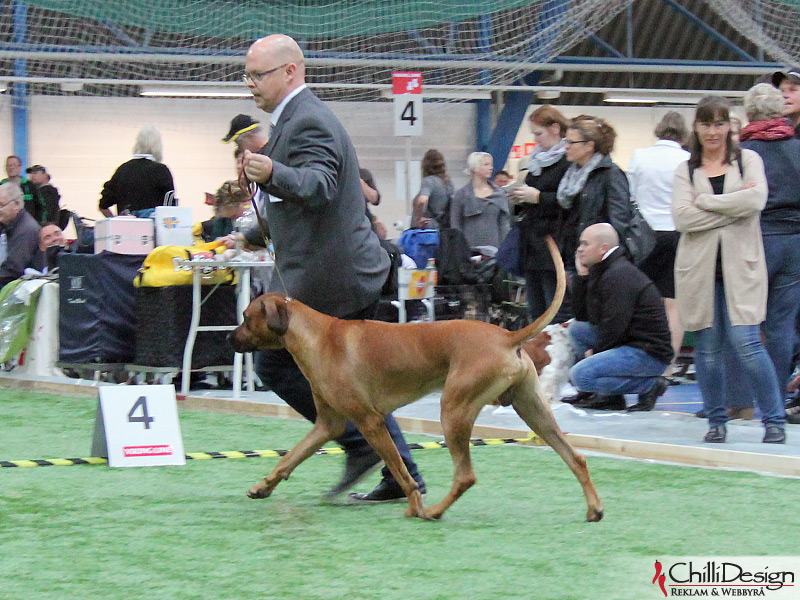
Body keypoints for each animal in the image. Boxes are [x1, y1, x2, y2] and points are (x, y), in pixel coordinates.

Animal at [229, 236, 603, 522]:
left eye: (246, 317)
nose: (229, 339)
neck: (316, 336)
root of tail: (508, 336)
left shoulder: (370, 421)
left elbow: (400, 470)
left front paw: (412, 503)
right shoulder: (328, 424)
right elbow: (290, 457)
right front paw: (263, 486)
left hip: (454, 409)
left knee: (465, 476)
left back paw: (431, 512)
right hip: (533, 410)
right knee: (576, 457)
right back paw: (594, 509)